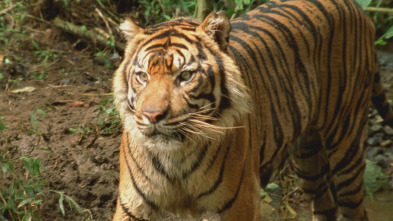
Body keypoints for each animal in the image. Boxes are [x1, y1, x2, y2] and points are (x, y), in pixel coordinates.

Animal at [112, 0, 392, 220]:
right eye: (142, 76)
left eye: (185, 76)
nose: (152, 116)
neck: (176, 157)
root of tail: (356, 7)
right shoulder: (132, 205)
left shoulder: (240, 203)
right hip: (308, 155)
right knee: (325, 207)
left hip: (346, 142)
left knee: (354, 208)